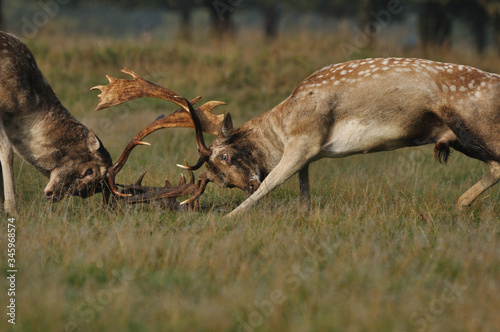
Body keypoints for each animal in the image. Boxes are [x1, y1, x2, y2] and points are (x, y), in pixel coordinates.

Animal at [93, 59, 500, 218]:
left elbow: (270, 185)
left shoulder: (304, 141)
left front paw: (228, 219)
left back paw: (459, 204)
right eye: (220, 181)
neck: (282, 125)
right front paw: (304, 214)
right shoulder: (310, 153)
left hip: (475, 129)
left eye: (225, 157)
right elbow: (303, 189)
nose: (244, 182)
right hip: (459, 138)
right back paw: (460, 205)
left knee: (497, 164)